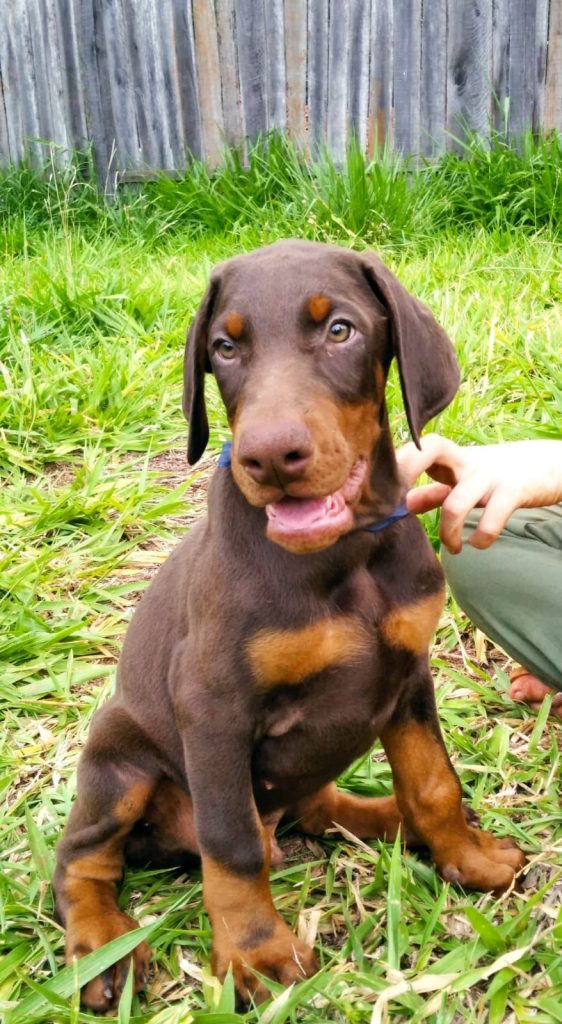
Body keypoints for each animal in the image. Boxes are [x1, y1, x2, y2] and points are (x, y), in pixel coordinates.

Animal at [54, 239, 524, 1007]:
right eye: (224, 347)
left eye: (340, 330)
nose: (270, 457)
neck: (345, 554)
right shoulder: (213, 708)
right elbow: (232, 844)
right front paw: (256, 955)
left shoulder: (408, 673)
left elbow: (433, 782)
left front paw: (468, 857)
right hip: (117, 758)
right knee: (84, 859)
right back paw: (102, 947)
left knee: (316, 806)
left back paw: (391, 821)